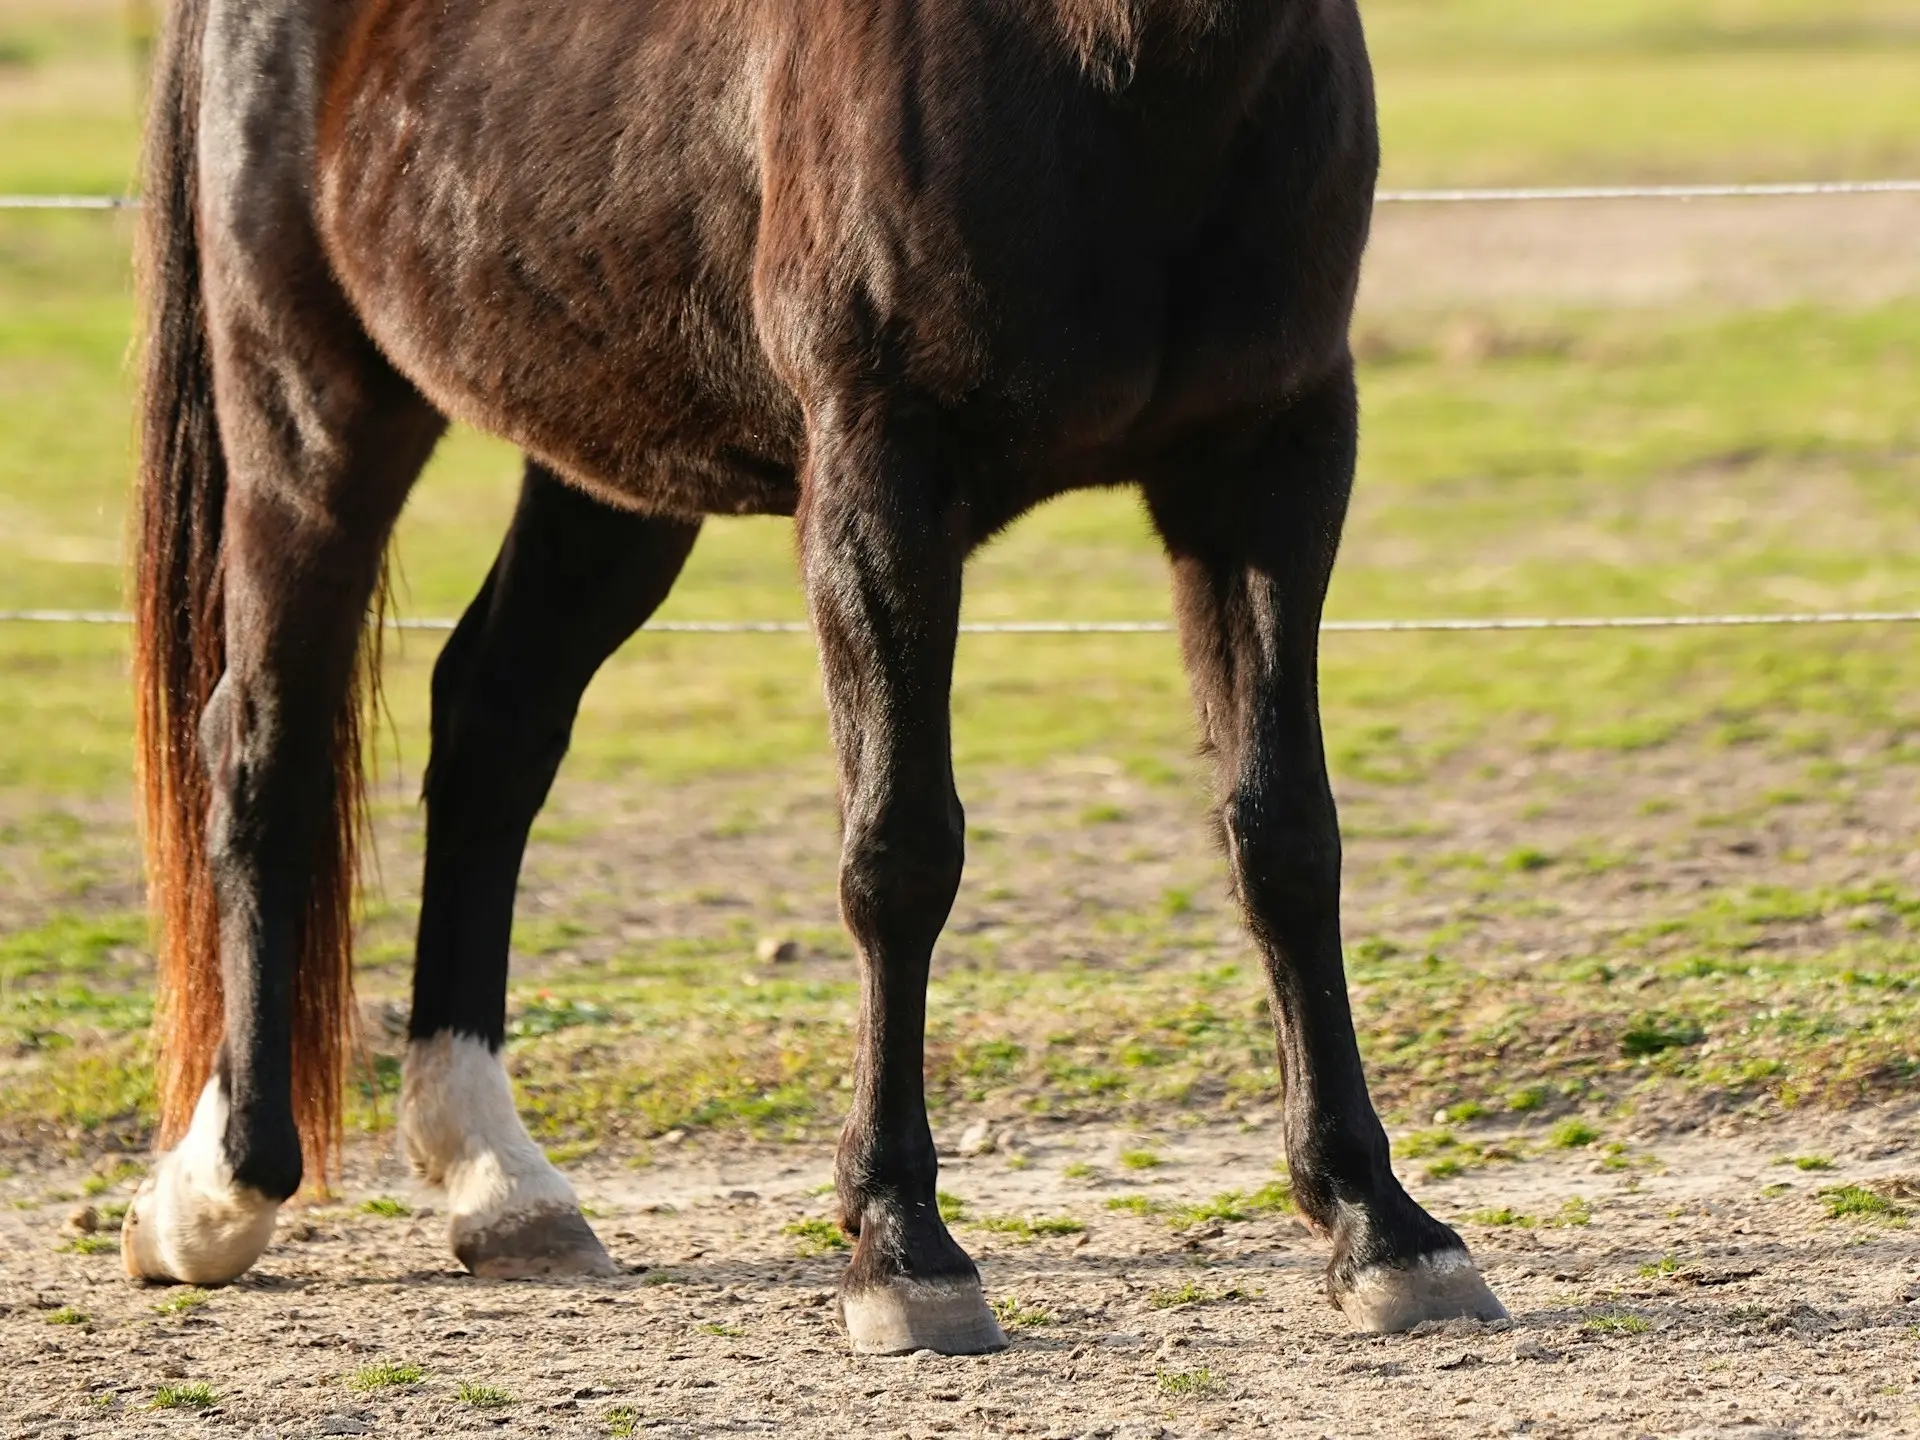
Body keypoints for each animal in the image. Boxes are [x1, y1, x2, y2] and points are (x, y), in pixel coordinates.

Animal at [120, 0, 1505, 1351]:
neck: (1119, 64)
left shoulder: (1272, 463)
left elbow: (1285, 840)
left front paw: (1383, 1227)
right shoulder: (877, 490)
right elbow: (899, 856)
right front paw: (903, 1247)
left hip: (606, 464)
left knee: (492, 728)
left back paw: (498, 1182)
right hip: (311, 417)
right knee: (260, 744)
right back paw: (216, 1192)